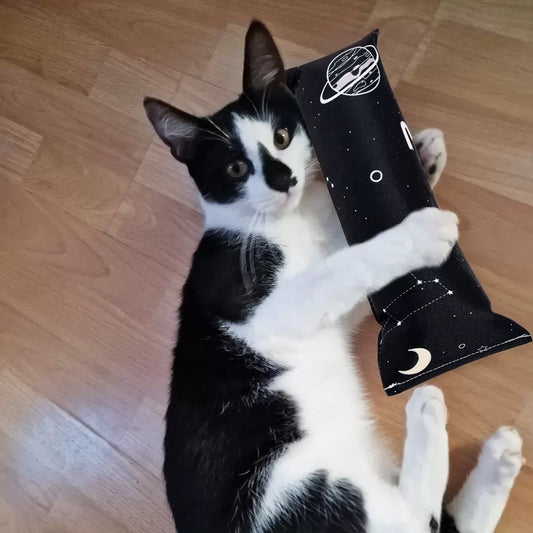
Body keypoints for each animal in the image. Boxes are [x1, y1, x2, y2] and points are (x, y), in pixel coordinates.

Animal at [144, 20, 524, 533]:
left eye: (282, 136)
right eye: (236, 167)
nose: (283, 178)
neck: (288, 220)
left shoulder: (335, 309)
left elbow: (350, 270)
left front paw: (421, 157)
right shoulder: (257, 301)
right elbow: (341, 268)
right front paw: (420, 231)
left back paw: (499, 457)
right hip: (295, 496)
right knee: (410, 516)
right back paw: (426, 412)